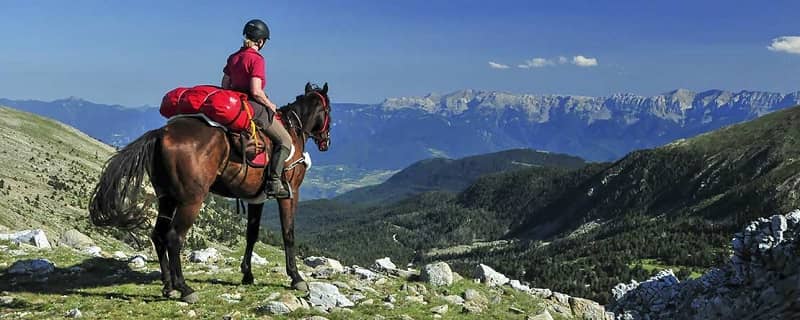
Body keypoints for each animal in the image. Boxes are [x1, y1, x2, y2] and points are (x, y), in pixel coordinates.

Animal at [85, 82, 328, 302]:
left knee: (158, 235)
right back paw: (185, 289)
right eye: (328, 111)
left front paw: (247, 274)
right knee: (174, 238)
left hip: (167, 198)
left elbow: (252, 234)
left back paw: (168, 286)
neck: (292, 131)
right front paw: (296, 278)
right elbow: (288, 234)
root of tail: (161, 134)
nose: (326, 142)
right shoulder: (290, 193)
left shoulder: (255, 199)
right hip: (191, 201)